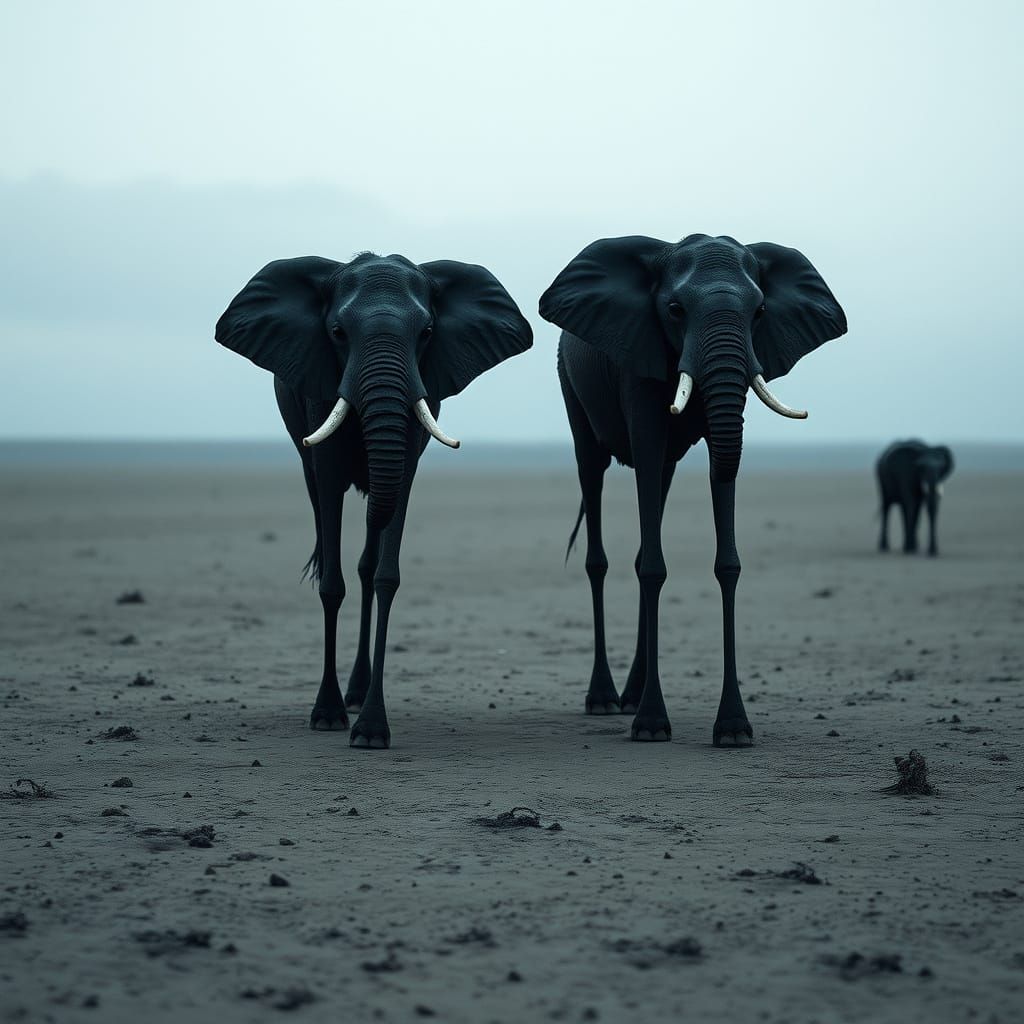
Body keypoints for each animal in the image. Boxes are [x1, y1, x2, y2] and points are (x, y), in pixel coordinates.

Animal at [216, 252, 532, 748]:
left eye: (426, 333)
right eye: (337, 333)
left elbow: (385, 570)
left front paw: (370, 731)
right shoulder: (318, 392)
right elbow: (331, 569)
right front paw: (327, 717)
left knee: (368, 560)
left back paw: (358, 693)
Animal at [539, 233, 847, 746]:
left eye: (760, 312)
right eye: (675, 309)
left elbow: (724, 552)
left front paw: (734, 731)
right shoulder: (638, 361)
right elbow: (646, 458)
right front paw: (650, 727)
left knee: (656, 493)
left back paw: (629, 697)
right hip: (569, 382)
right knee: (593, 478)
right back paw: (605, 701)